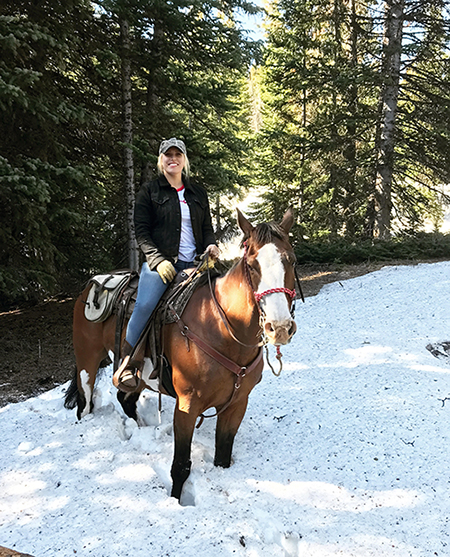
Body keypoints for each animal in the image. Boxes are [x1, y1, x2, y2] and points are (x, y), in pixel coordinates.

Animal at [63, 208, 298, 500]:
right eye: (253, 265)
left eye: (291, 260)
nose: (279, 327)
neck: (219, 325)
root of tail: (92, 285)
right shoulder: (187, 406)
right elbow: (181, 466)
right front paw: (176, 499)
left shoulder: (237, 404)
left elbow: (223, 455)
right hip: (87, 363)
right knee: (85, 404)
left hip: (138, 376)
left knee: (125, 397)